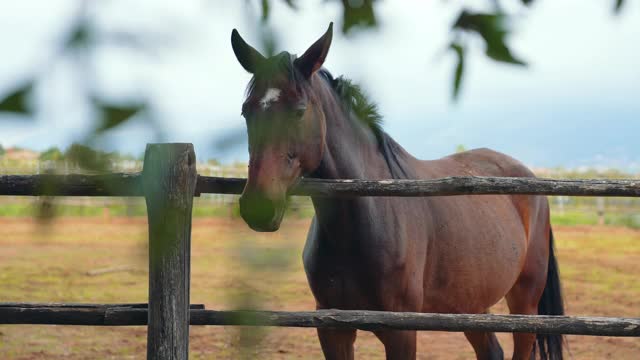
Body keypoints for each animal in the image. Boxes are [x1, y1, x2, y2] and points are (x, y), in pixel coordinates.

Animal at [232, 23, 564, 360]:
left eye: (299, 111)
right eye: (247, 111)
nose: (258, 206)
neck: (364, 221)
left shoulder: (401, 331)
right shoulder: (332, 327)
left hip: (525, 301)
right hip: (470, 301)